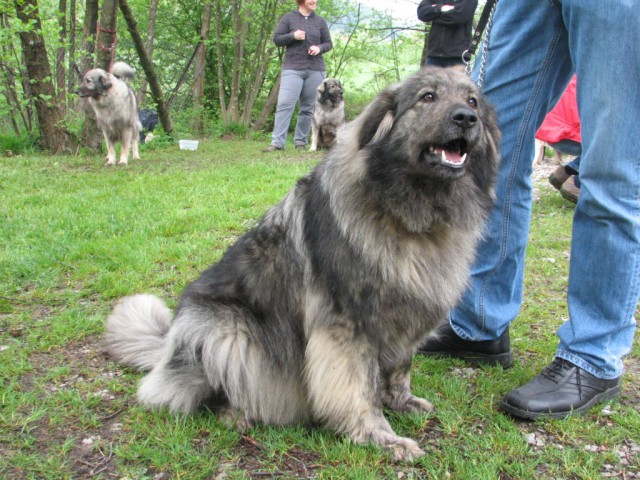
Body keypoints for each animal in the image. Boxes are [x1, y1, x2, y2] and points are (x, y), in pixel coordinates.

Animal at [105, 67, 502, 462]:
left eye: (472, 101)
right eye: (428, 97)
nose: (466, 118)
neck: (408, 214)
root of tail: (167, 345)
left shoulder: (405, 317)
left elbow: (399, 369)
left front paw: (402, 402)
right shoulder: (347, 328)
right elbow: (361, 389)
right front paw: (379, 436)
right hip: (225, 331)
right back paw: (236, 413)